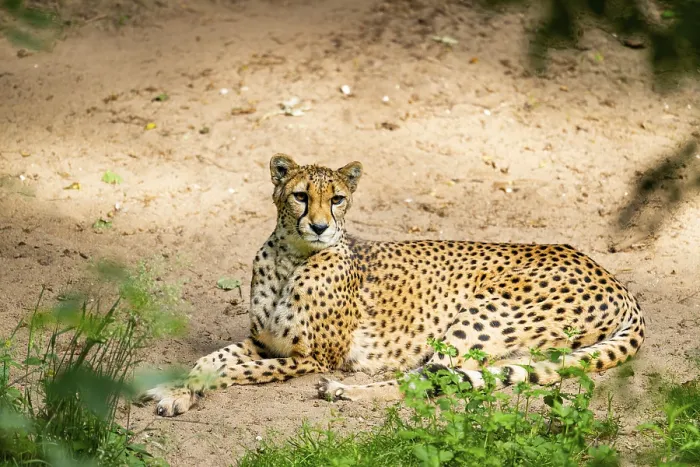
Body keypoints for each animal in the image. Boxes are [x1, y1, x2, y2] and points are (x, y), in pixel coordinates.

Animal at [144, 154, 645, 416]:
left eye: (337, 198)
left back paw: (344, 392)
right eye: (301, 195)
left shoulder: (311, 359)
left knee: (430, 379)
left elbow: (235, 369)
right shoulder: (263, 341)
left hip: (479, 318)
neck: (292, 258)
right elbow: (211, 357)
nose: (320, 226)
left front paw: (188, 390)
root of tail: (612, 277)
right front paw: (175, 389)